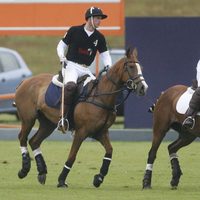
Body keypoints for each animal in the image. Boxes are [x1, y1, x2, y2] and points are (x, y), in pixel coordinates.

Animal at [14, 47, 148, 188]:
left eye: (141, 67)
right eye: (131, 67)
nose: (143, 88)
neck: (101, 97)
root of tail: (24, 81)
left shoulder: (100, 132)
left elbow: (109, 151)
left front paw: (98, 178)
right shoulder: (81, 132)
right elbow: (72, 156)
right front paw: (61, 180)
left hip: (48, 123)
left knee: (34, 141)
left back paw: (42, 172)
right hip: (28, 119)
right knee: (22, 138)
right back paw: (24, 170)